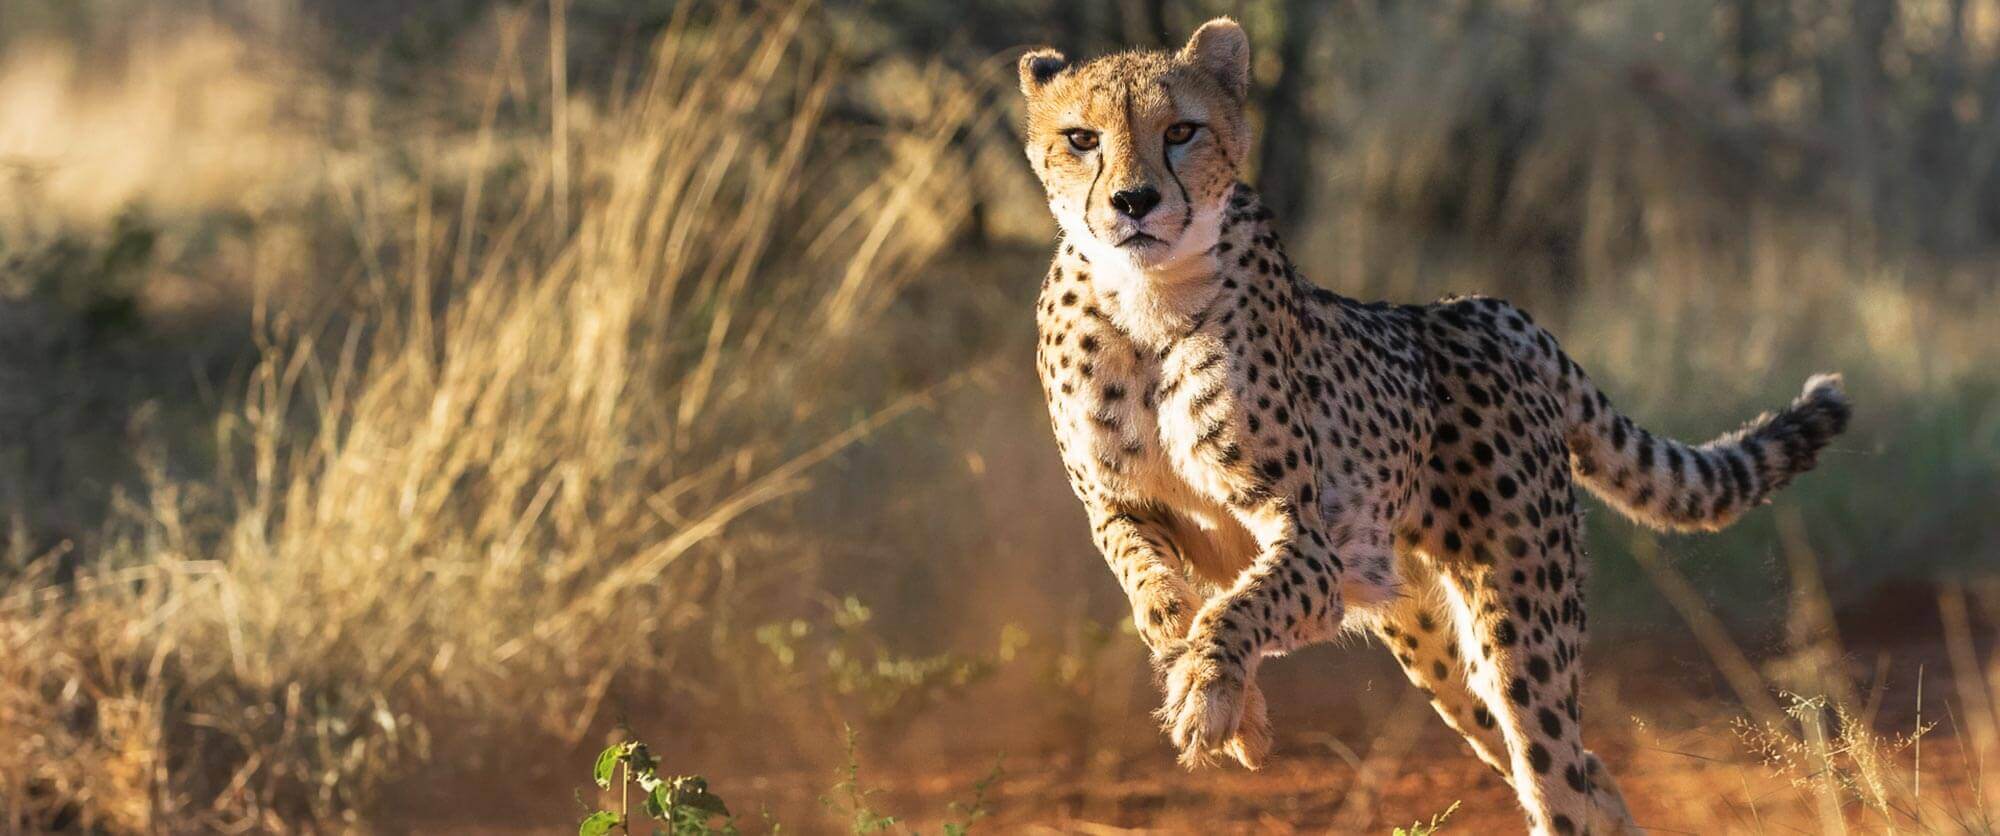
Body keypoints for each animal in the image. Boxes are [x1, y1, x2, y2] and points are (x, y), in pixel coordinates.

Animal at [1024, 16, 1848, 832]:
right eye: (1082, 138)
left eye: (1181, 131)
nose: (1133, 201)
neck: (1146, 299)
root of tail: (1487, 308)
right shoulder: (1119, 505)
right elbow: (1149, 578)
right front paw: (1204, 668)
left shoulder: (1308, 539)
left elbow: (1240, 608)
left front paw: (1211, 696)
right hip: (1435, 648)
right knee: (1591, 772)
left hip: (1518, 628)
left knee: (1557, 773)